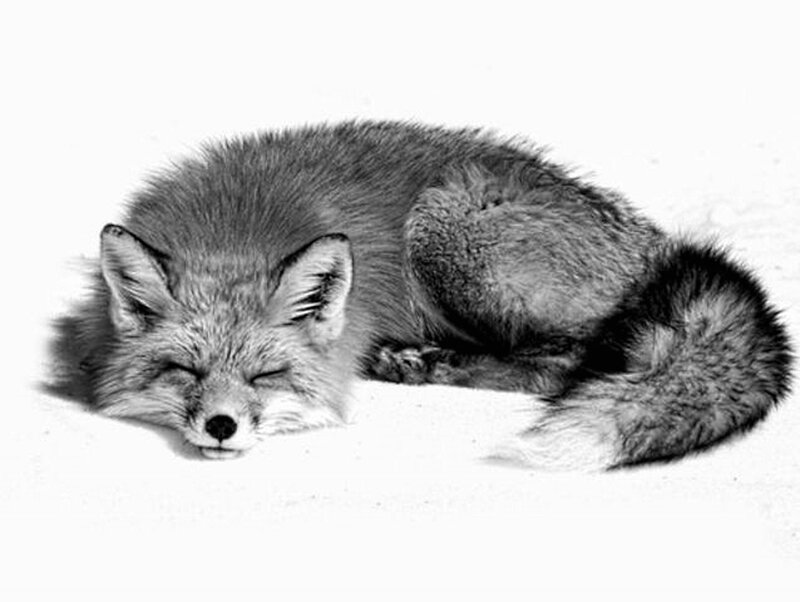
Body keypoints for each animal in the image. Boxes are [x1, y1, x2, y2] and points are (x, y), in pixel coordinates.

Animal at [53, 121, 792, 469]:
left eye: (266, 376)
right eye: (185, 370)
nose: (222, 426)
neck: (234, 230)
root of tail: (654, 241)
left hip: (445, 231)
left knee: (567, 360)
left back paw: (425, 362)